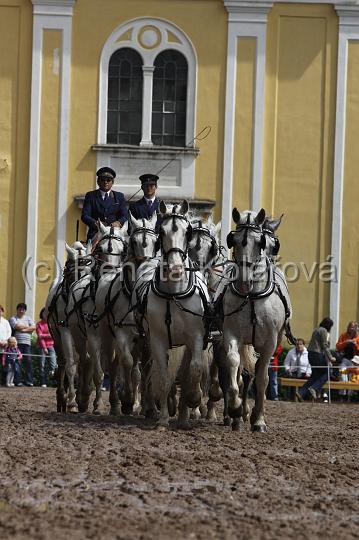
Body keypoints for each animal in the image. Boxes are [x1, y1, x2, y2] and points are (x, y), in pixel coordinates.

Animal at [134, 200, 210, 428]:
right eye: (161, 231)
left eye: (187, 232)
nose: (176, 268)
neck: (174, 294)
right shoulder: (157, 339)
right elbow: (163, 376)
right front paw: (163, 418)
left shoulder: (196, 337)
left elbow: (194, 370)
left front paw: (193, 400)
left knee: (186, 374)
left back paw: (185, 415)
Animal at [222, 209, 292, 432]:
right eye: (233, 240)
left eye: (260, 242)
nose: (244, 282)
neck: (251, 296)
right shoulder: (231, 334)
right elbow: (233, 363)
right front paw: (236, 408)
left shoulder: (270, 342)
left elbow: (262, 378)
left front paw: (259, 420)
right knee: (241, 374)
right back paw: (237, 416)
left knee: (258, 374)